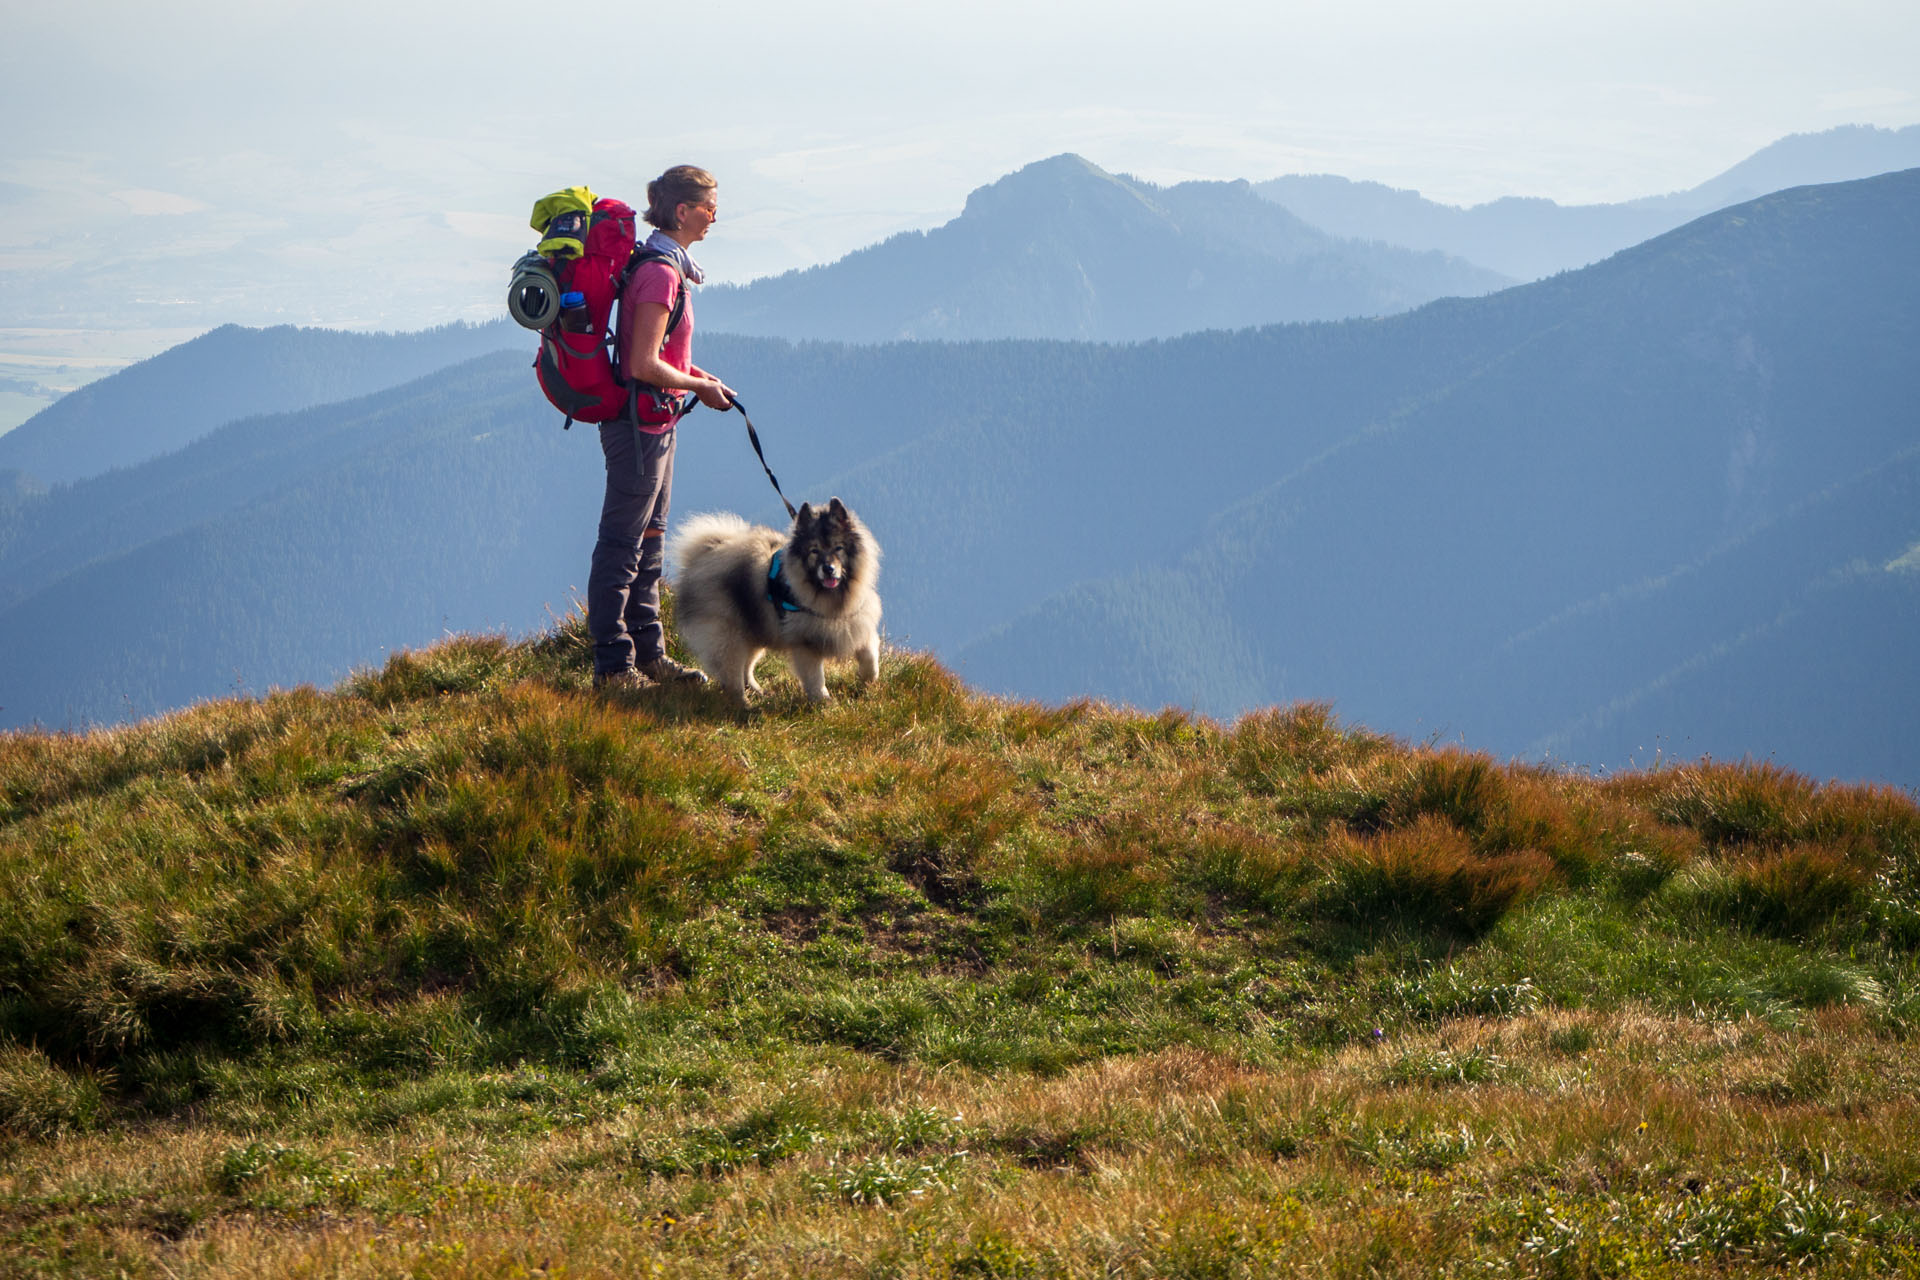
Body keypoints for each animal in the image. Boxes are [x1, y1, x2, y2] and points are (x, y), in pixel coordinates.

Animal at [672, 498, 879, 706]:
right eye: (814, 551)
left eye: (838, 548)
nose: (828, 569)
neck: (831, 597)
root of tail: (703, 555)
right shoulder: (805, 644)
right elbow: (815, 678)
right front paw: (823, 701)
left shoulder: (857, 623)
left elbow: (869, 656)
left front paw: (868, 679)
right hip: (729, 635)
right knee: (733, 675)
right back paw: (743, 704)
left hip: (754, 630)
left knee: (746, 667)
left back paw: (758, 692)